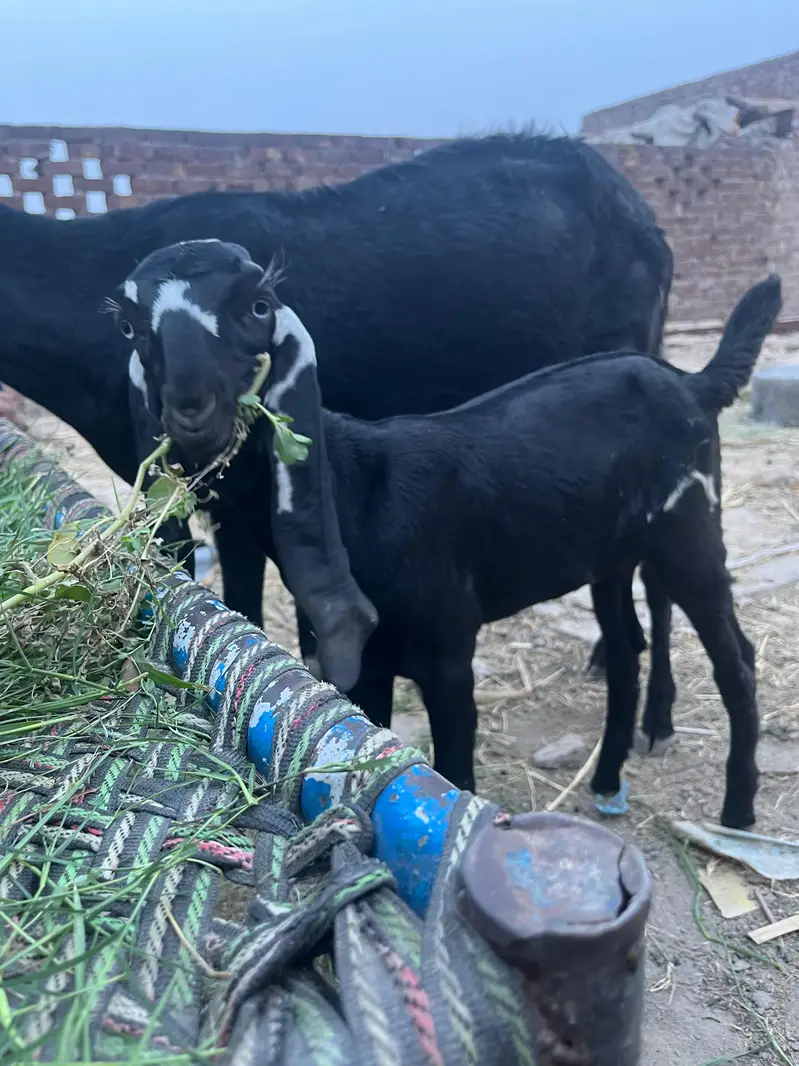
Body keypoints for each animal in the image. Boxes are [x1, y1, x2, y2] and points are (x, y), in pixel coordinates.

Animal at [118, 240, 781, 830]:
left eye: (258, 305)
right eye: (131, 327)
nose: (193, 410)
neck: (361, 489)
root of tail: (692, 383)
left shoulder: (449, 658)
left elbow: (454, 774)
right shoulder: (371, 664)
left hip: (688, 530)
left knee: (736, 659)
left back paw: (738, 809)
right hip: (610, 556)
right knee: (625, 650)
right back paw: (607, 780)